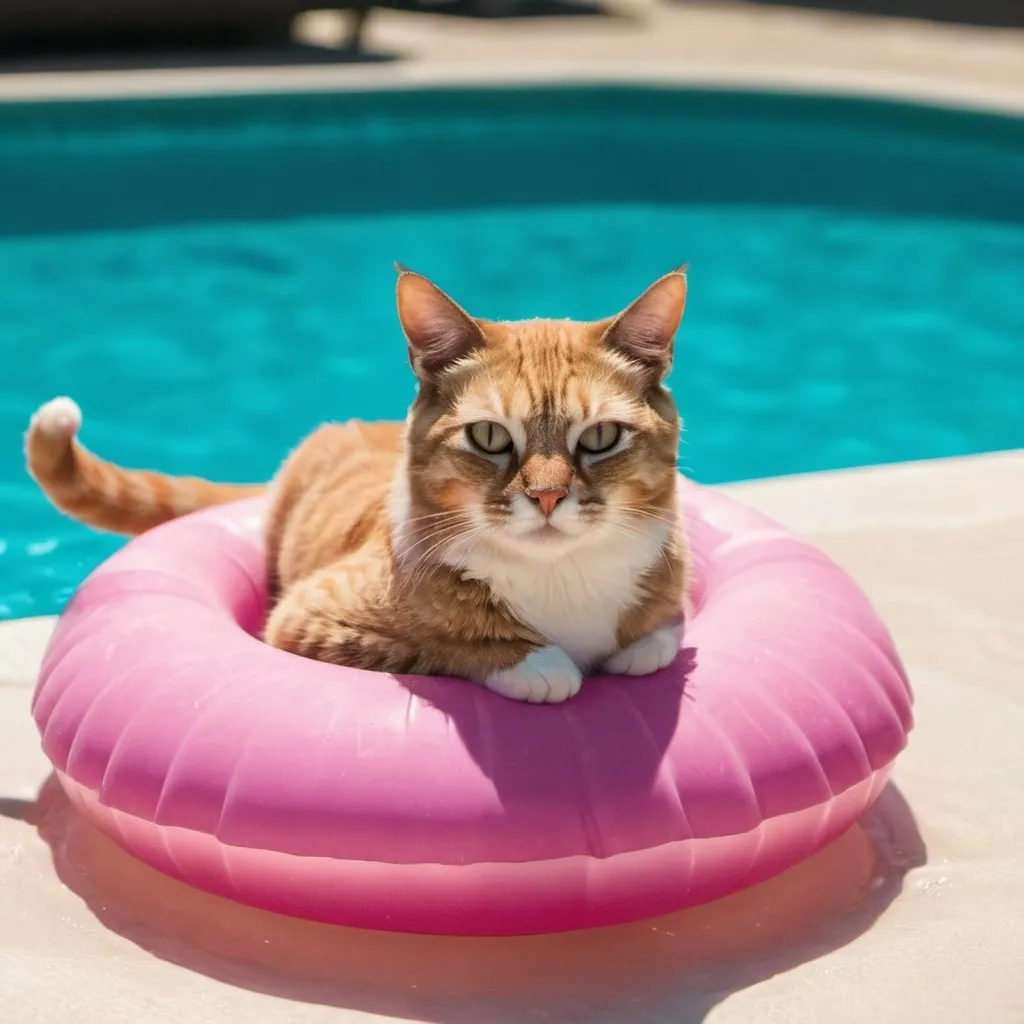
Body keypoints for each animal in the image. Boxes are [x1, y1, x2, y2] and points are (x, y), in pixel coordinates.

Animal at [24, 266, 692, 704]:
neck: (561, 579)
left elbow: (660, 634)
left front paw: (643, 642)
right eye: (489, 438)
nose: (549, 498)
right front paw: (532, 661)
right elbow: (436, 646)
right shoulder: (306, 620)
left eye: (600, 437)